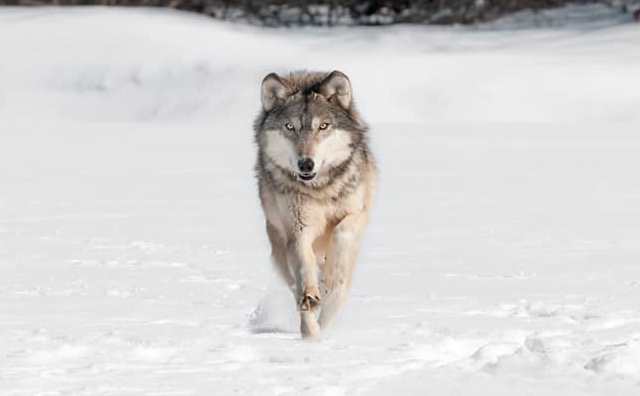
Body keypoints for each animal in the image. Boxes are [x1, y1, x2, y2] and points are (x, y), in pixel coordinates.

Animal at [254, 70, 376, 338]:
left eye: (323, 126)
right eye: (290, 127)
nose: (306, 164)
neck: (321, 190)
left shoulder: (357, 214)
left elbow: (342, 233)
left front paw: (331, 278)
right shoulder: (297, 230)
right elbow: (303, 267)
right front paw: (311, 298)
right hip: (279, 250)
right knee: (298, 290)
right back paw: (311, 331)